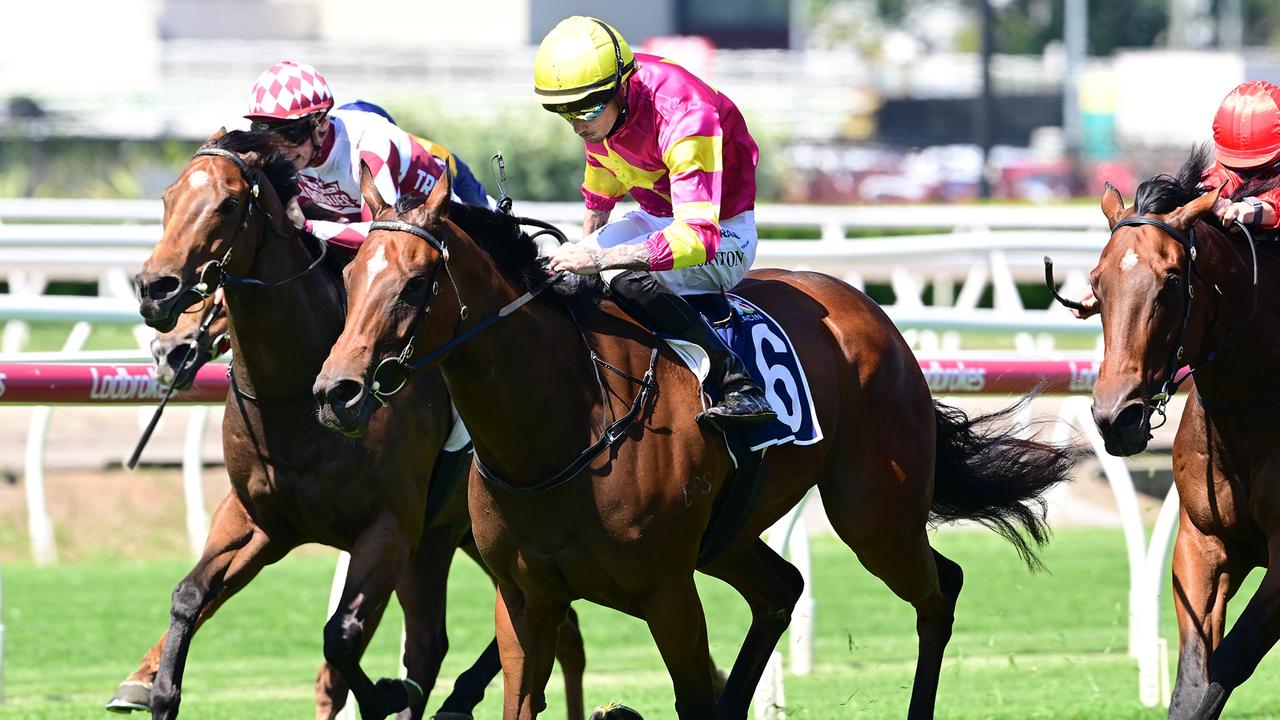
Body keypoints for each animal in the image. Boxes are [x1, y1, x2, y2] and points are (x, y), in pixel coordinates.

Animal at [129, 130, 588, 717]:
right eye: (167, 198)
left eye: (229, 204)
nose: (155, 292)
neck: (295, 403)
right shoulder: (258, 519)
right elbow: (189, 596)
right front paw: (154, 688)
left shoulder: (387, 528)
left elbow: (341, 637)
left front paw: (386, 693)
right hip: (451, 537)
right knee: (466, 636)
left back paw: (456, 694)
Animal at [314, 169, 1075, 717]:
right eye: (348, 276)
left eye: (416, 284)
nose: (335, 391)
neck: (560, 431)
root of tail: (873, 314)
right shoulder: (524, 598)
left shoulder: (667, 592)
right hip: (729, 535)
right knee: (783, 588)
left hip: (874, 514)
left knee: (938, 591)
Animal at [1085, 142, 1280, 712]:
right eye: (1097, 282)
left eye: (1172, 282)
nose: (1115, 417)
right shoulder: (1203, 543)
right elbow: (1195, 676)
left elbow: (1231, 662)